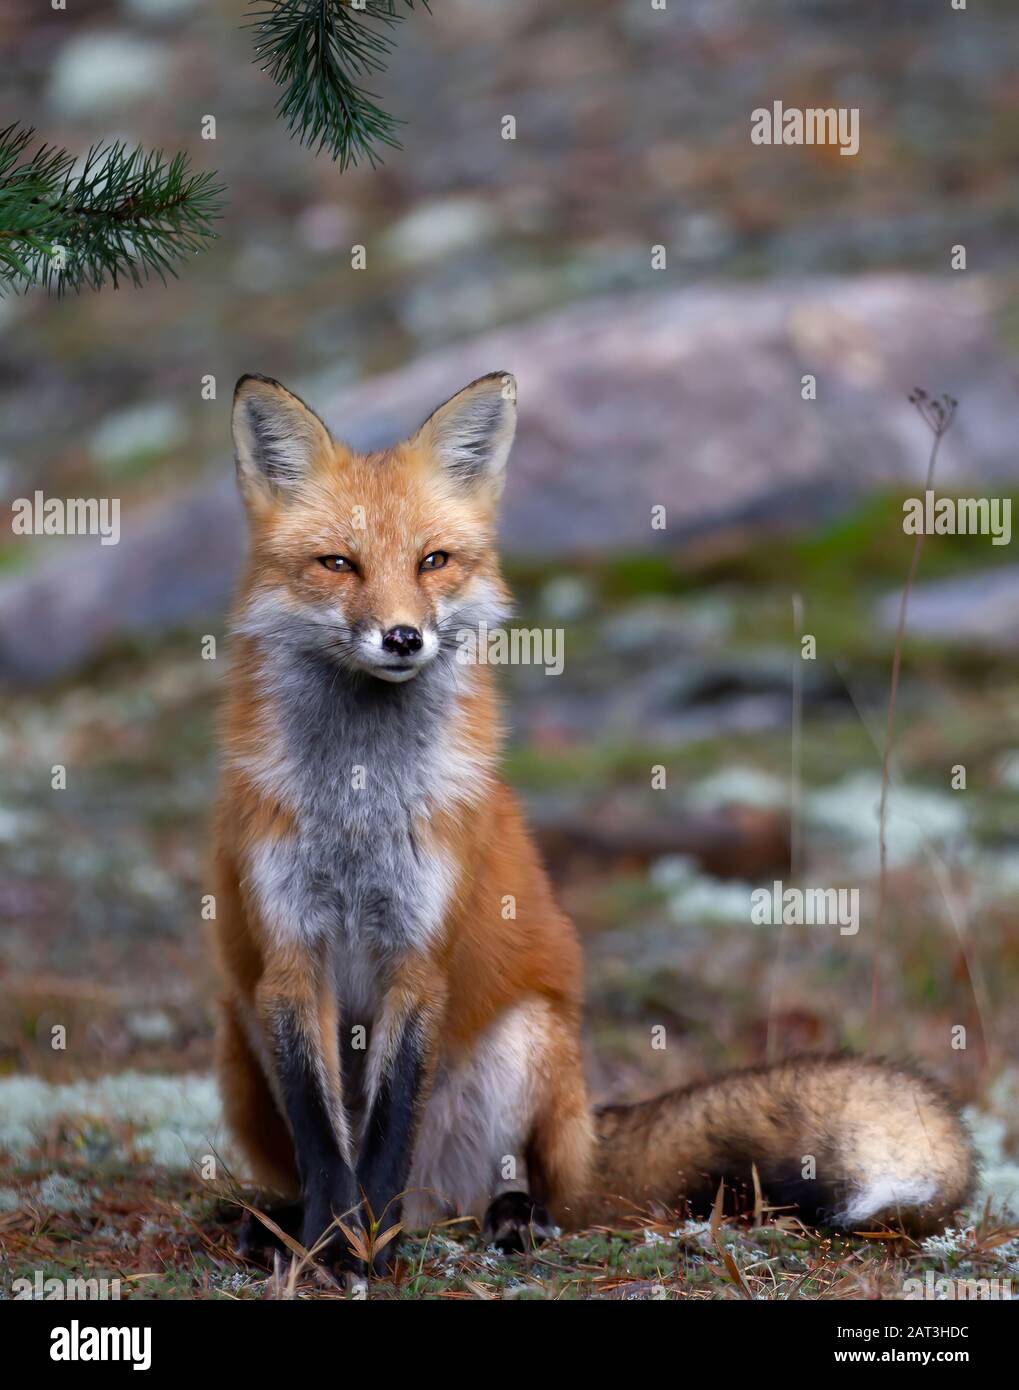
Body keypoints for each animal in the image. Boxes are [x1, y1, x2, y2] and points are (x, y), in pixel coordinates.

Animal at [212, 369, 974, 1277]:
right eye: (338, 563)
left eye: (432, 561)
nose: (403, 638)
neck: (359, 801)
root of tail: (587, 1131)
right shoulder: (290, 961)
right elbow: (329, 1145)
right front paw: (329, 1245)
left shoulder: (419, 958)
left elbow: (385, 1134)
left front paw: (368, 1249)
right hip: (243, 1034)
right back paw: (275, 1222)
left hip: (527, 1046)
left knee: (519, 1190)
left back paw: (507, 1219)